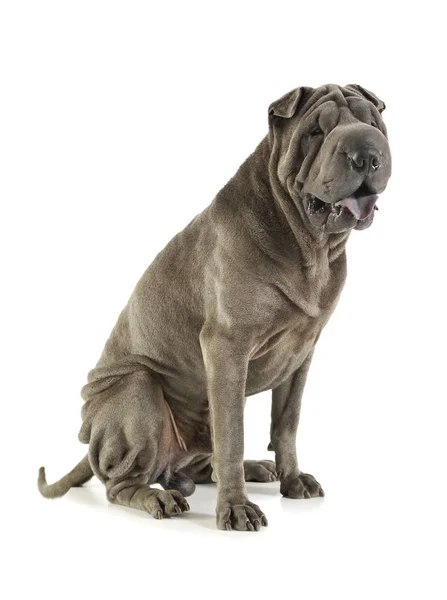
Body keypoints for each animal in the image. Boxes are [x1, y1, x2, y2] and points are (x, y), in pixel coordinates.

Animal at [40, 83, 394, 528]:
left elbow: (286, 424)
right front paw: (237, 509)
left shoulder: (301, 355)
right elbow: (233, 435)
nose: (367, 153)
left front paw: (293, 481)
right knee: (121, 483)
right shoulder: (227, 348)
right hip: (138, 389)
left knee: (200, 466)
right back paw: (159, 498)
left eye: (372, 121)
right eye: (316, 132)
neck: (307, 245)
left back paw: (256, 468)